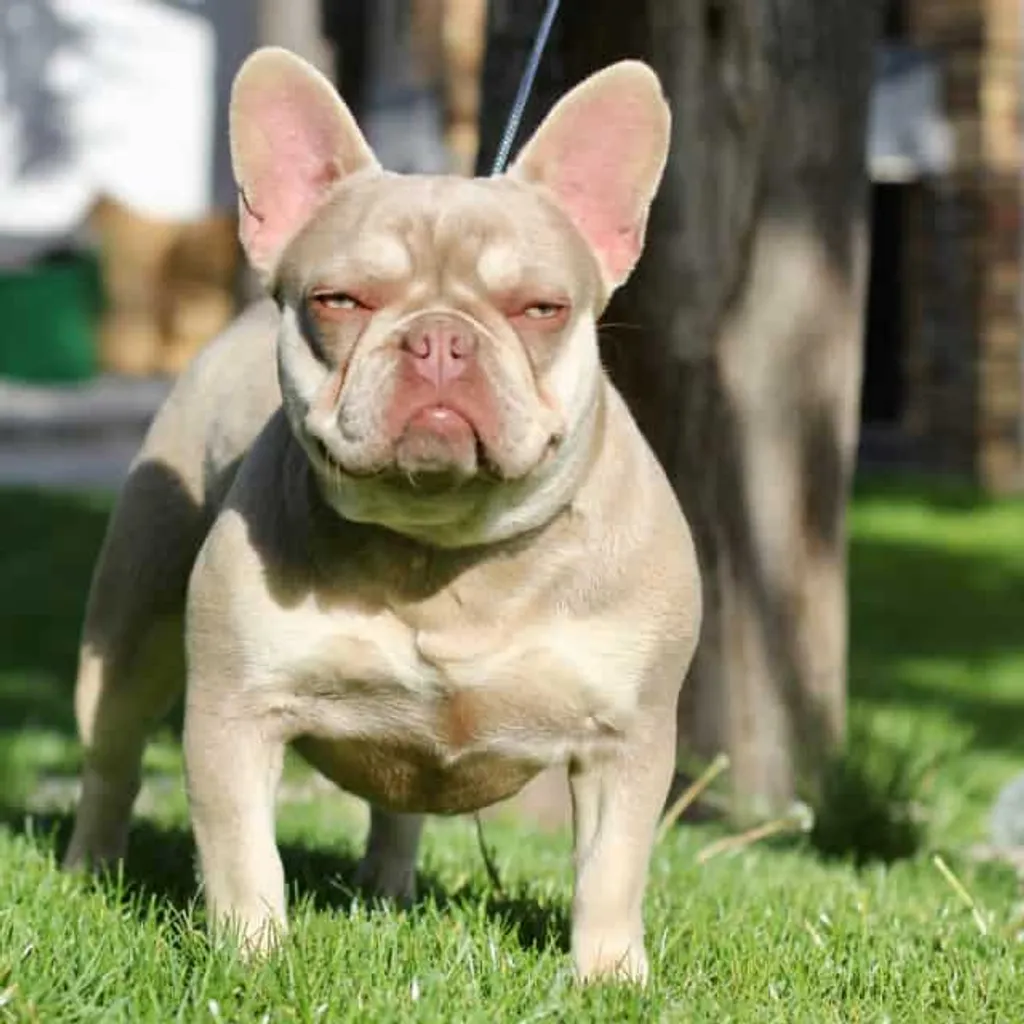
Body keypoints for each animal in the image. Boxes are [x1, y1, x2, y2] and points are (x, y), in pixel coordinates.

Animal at [64, 48, 700, 983]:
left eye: (541, 309)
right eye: (338, 301)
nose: (438, 338)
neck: (440, 545)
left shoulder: (627, 738)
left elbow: (611, 872)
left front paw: (608, 979)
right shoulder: (233, 713)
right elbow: (242, 853)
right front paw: (254, 958)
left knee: (402, 809)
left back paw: (388, 892)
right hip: (128, 634)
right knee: (110, 759)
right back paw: (88, 871)